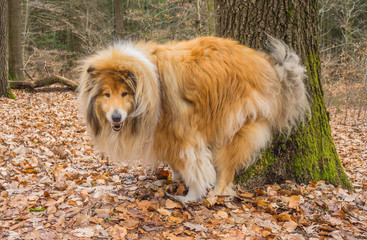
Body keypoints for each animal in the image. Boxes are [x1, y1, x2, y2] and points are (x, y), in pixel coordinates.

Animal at [78, 35, 310, 201]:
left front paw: (191, 195)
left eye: (124, 93)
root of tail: (269, 67)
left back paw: (218, 193)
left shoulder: (183, 133)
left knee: (227, 166)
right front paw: (176, 177)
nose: (116, 118)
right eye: (107, 94)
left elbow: (194, 166)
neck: (149, 90)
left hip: (234, 126)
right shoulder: (165, 134)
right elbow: (175, 161)